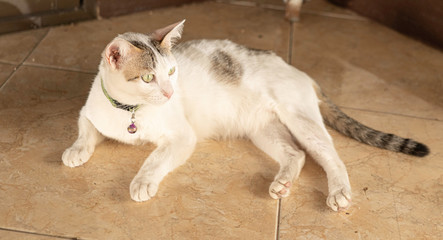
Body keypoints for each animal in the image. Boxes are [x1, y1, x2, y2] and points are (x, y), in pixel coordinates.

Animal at [62, 21, 430, 212]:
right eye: (149, 78)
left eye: (172, 71)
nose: (168, 93)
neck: (129, 111)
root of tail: (299, 71)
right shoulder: (90, 111)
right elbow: (85, 130)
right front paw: (76, 151)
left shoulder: (181, 137)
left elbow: (153, 160)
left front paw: (142, 182)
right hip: (264, 130)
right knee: (295, 154)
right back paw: (282, 183)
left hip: (300, 120)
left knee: (330, 156)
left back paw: (339, 192)